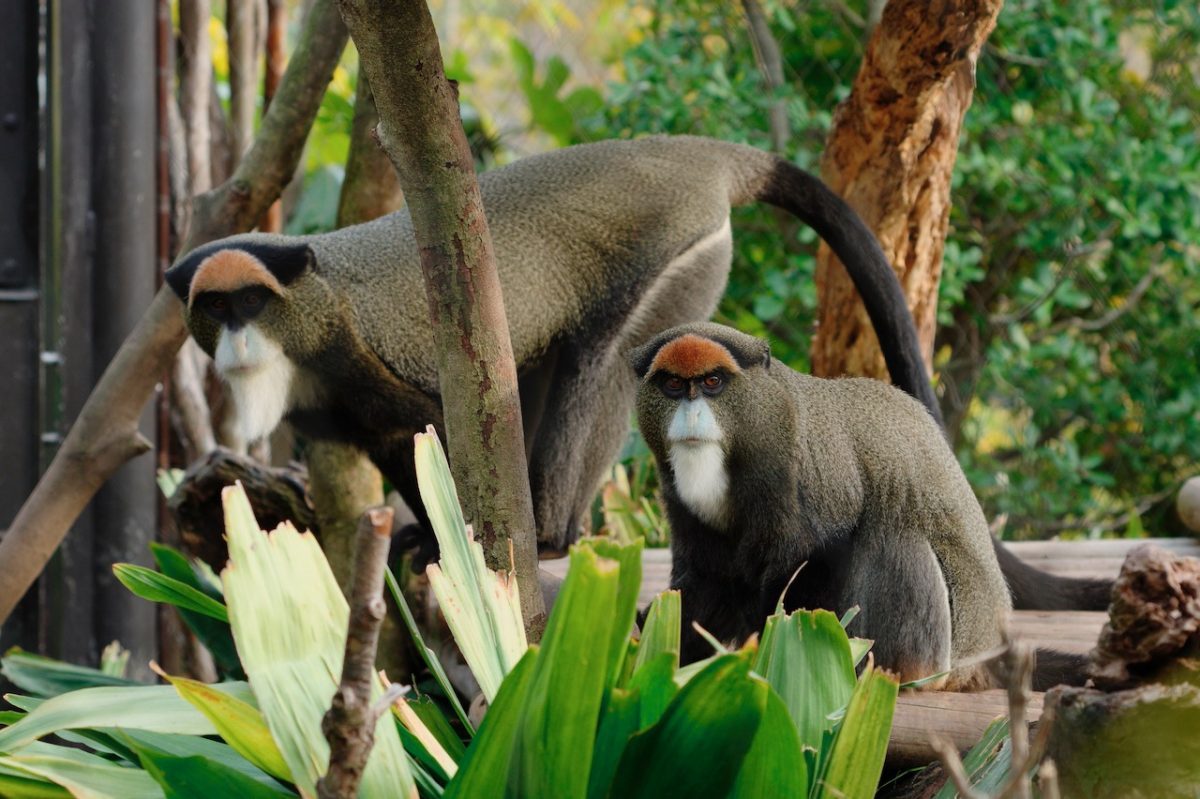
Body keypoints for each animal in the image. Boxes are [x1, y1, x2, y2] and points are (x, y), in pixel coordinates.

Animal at [164, 135, 1108, 609]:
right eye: (217, 311)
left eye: (251, 305)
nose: (235, 344)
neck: (314, 313)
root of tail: (702, 153)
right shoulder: (337, 406)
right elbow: (400, 447)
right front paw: (414, 532)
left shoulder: (381, 352)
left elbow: (445, 423)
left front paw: (444, 536)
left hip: (679, 256)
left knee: (602, 365)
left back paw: (547, 531)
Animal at [638, 321, 1099, 686]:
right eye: (673, 385)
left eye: (712, 382)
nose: (691, 413)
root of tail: (979, 660)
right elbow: (704, 579)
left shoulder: (804, 473)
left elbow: (816, 557)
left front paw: (782, 656)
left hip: (937, 656)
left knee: (895, 537)